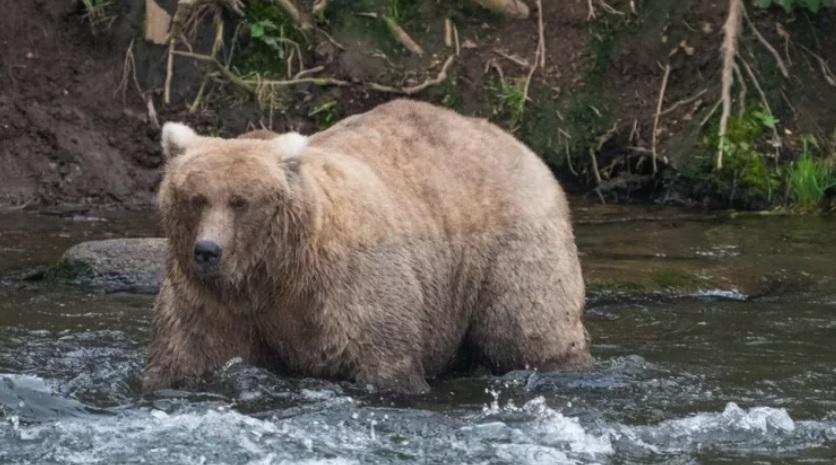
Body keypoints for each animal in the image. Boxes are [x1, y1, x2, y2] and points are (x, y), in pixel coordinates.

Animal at [142, 99, 588, 392]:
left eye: (240, 201)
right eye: (196, 197)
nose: (208, 251)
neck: (275, 273)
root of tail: (517, 142)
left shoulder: (349, 289)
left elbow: (384, 359)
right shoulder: (212, 303)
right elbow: (186, 354)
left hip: (511, 245)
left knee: (526, 326)